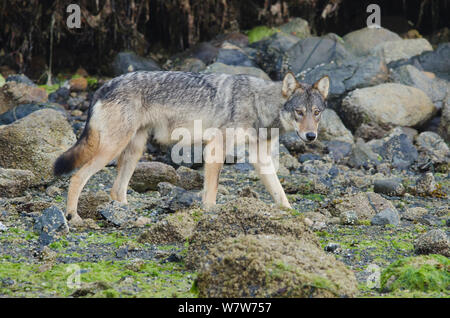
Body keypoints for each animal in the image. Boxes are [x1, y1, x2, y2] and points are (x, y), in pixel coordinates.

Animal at [54, 71, 328, 225]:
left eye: (316, 113)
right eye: (299, 112)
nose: (310, 136)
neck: (258, 103)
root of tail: (104, 86)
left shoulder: (260, 158)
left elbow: (281, 195)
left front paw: (297, 217)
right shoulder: (216, 147)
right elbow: (211, 191)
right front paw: (210, 213)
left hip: (134, 150)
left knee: (116, 189)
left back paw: (126, 215)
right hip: (111, 149)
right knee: (78, 177)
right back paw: (74, 217)